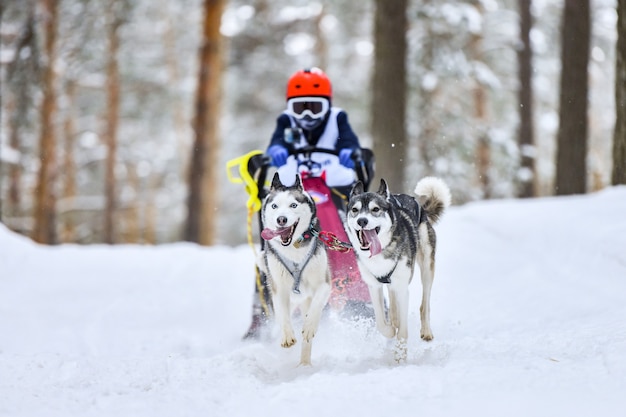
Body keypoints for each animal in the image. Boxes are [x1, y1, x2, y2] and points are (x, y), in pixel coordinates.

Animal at [258, 172, 332, 364]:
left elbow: (316, 305)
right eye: (275, 206)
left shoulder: (324, 283)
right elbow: (284, 316)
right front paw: (287, 337)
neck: (294, 249)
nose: (281, 219)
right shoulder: (279, 289)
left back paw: (304, 364)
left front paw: (309, 326)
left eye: (293, 205)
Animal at [346, 177, 448, 360]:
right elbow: (381, 322)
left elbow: (403, 330)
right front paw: (390, 331)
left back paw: (426, 331)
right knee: (393, 307)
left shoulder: (402, 288)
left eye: (375, 209)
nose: (361, 221)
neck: (381, 252)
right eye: (355, 210)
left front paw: (400, 355)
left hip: (427, 268)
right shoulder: (374, 286)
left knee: (424, 304)